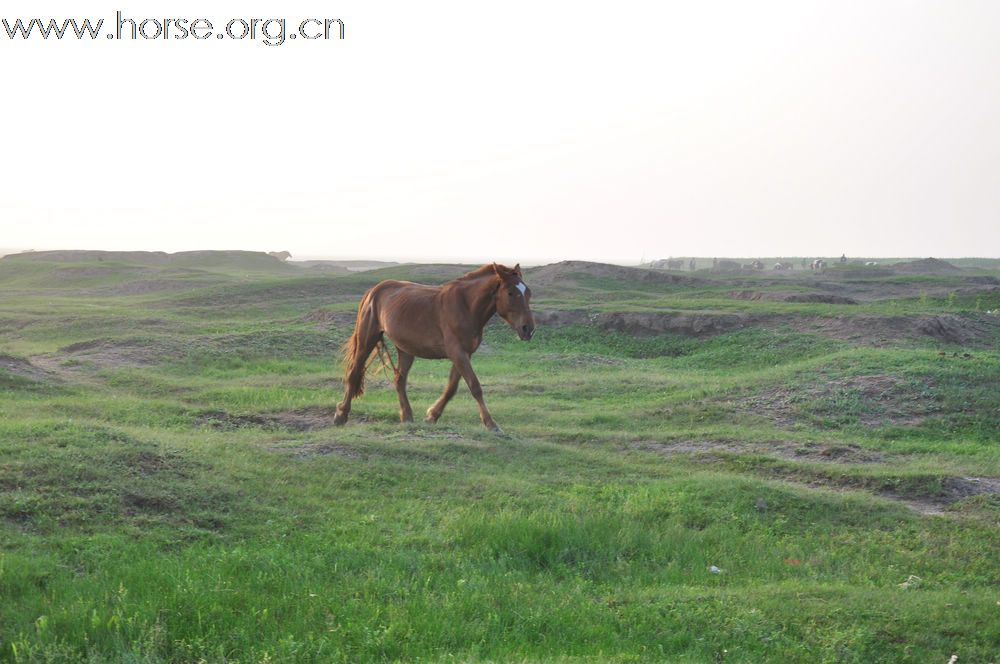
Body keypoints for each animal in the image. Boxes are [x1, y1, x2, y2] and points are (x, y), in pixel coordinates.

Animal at [334, 262, 540, 434]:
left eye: (528, 292)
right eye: (511, 293)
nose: (528, 329)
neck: (466, 306)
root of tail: (373, 291)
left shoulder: (464, 354)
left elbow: (452, 388)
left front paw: (432, 415)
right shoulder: (457, 353)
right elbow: (475, 386)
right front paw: (491, 424)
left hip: (406, 350)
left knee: (399, 380)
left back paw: (406, 416)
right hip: (366, 340)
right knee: (353, 374)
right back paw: (341, 415)